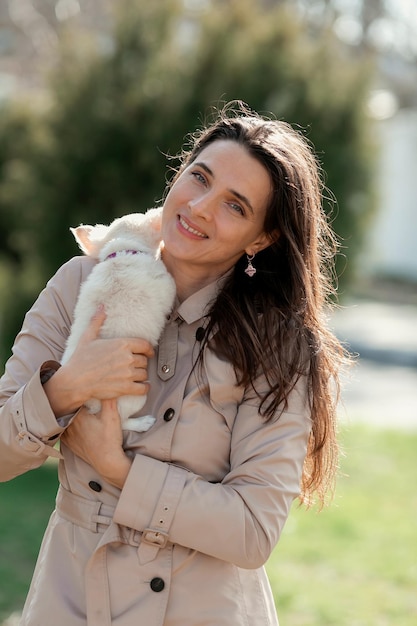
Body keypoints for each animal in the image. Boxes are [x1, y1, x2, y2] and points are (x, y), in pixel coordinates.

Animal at [61, 207, 175, 432]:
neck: (123, 250)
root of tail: (89, 402)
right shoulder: (167, 284)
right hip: (136, 395)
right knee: (121, 422)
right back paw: (143, 423)